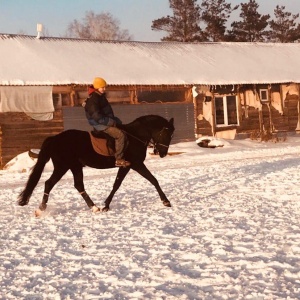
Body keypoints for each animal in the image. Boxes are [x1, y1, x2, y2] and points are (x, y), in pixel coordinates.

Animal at [17, 113, 175, 214]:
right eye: (167, 134)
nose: (162, 153)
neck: (135, 136)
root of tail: (55, 138)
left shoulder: (126, 166)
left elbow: (116, 184)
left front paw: (105, 205)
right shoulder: (135, 164)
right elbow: (153, 180)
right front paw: (166, 201)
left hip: (74, 166)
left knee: (78, 185)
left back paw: (94, 207)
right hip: (63, 166)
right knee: (49, 183)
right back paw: (41, 209)